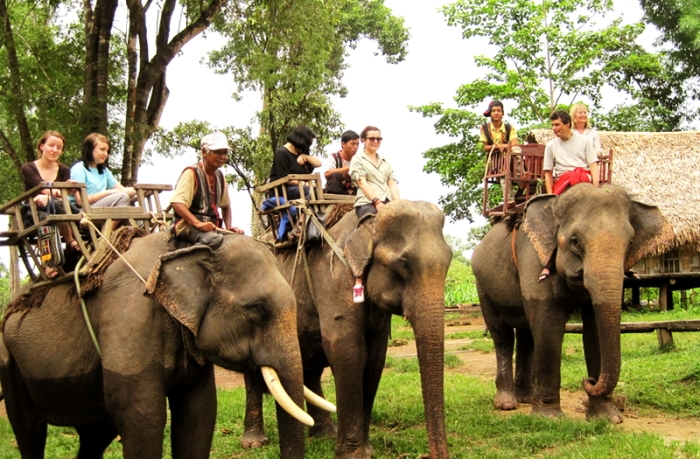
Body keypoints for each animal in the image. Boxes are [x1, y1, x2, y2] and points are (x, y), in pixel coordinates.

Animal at [0, 234, 320, 459]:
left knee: (96, 434)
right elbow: (143, 414)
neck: (182, 251)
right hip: (9, 362)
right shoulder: (129, 317)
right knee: (29, 431)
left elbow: (199, 411)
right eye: (257, 310)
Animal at [242, 201, 454, 459]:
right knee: (254, 374)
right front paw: (352, 455)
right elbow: (349, 353)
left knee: (309, 368)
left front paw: (367, 451)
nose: (426, 455)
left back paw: (325, 434)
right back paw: (254, 443)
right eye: (403, 263)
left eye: (450, 260)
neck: (367, 222)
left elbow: (374, 359)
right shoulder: (333, 282)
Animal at [470, 184, 668, 424]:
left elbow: (594, 330)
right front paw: (549, 419)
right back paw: (507, 403)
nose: (588, 381)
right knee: (502, 335)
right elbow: (548, 326)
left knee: (527, 335)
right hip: (482, 285)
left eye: (629, 243)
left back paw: (527, 398)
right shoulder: (534, 258)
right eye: (575, 241)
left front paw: (607, 418)